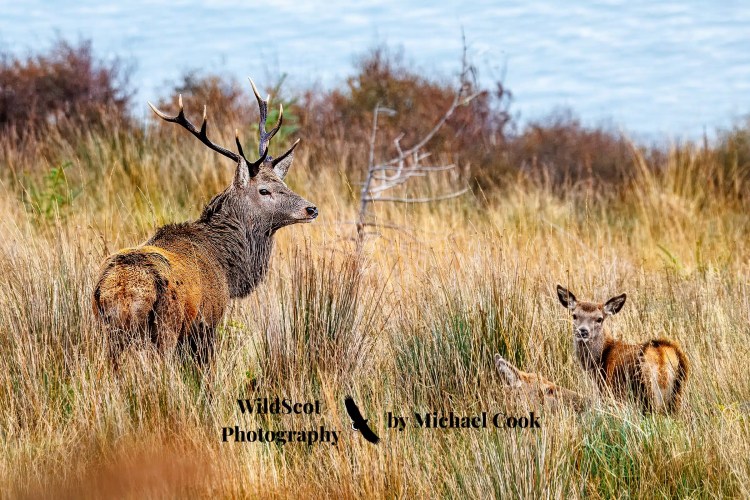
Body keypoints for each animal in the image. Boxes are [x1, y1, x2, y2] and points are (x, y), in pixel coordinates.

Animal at [93, 80, 318, 371]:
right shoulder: (207, 320)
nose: (311, 208)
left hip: (107, 332)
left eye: (284, 183)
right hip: (167, 325)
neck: (229, 270)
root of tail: (124, 288)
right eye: (264, 190)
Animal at [556, 285, 689, 414]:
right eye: (574, 315)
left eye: (599, 319)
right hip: (677, 393)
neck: (600, 361)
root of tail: (661, 354)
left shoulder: (610, 390)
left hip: (646, 391)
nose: (583, 331)